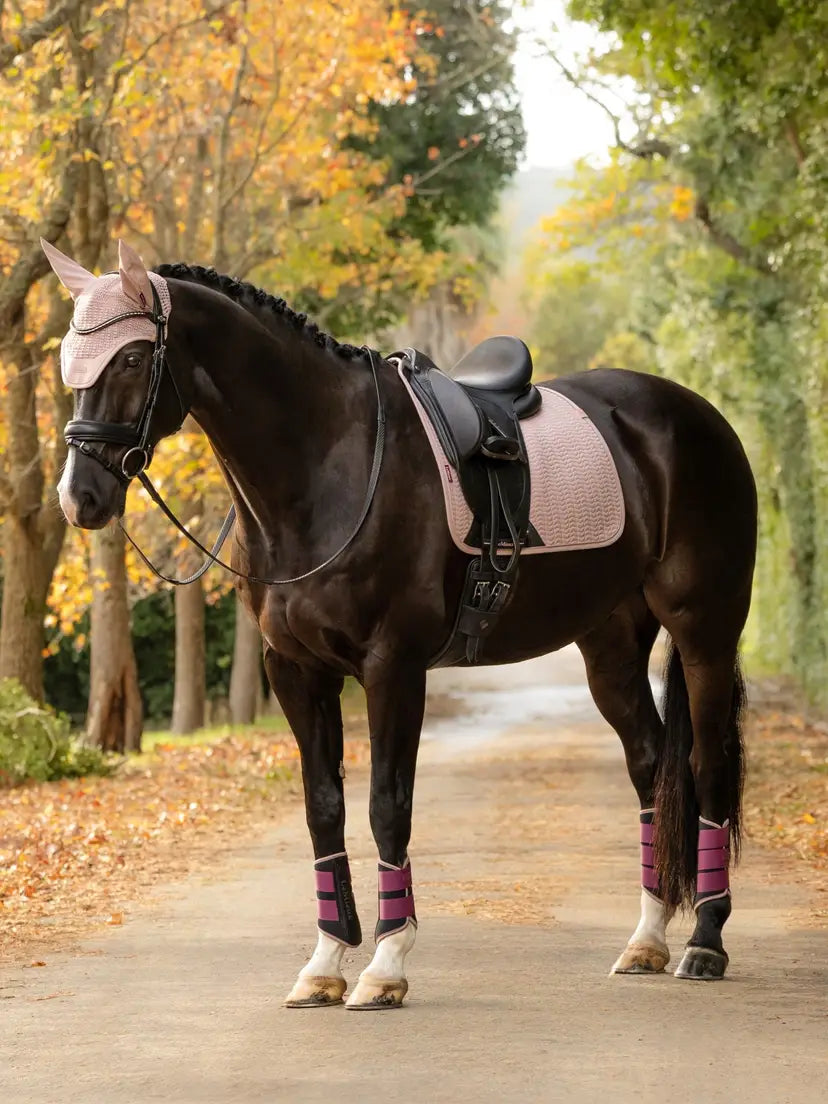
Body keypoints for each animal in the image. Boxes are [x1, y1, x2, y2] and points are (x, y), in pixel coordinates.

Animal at [45, 238, 756, 1008]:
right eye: (70, 359)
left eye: (131, 359)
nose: (80, 498)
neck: (328, 463)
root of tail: (694, 414)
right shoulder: (294, 670)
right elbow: (323, 806)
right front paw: (325, 962)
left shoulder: (393, 667)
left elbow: (388, 806)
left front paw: (386, 966)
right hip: (611, 646)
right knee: (651, 765)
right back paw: (647, 939)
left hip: (704, 632)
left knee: (707, 765)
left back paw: (705, 942)